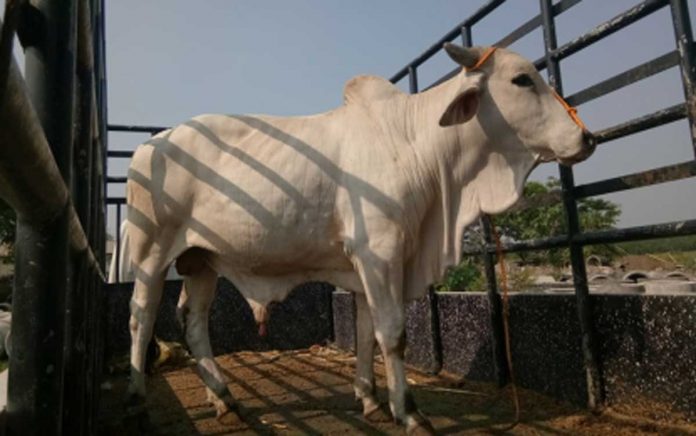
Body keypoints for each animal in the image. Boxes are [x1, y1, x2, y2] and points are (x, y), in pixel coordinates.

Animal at [123, 44, 592, 432]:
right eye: (521, 79)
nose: (586, 137)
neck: (419, 146)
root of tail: (151, 145)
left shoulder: (370, 266)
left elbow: (366, 331)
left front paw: (370, 400)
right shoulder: (380, 254)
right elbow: (393, 333)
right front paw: (409, 412)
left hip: (201, 259)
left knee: (192, 319)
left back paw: (224, 400)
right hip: (151, 251)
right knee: (141, 316)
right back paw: (138, 398)